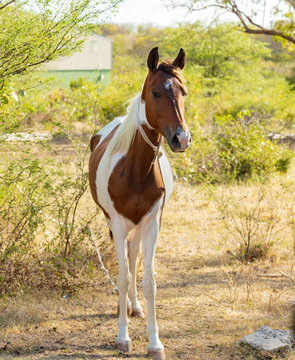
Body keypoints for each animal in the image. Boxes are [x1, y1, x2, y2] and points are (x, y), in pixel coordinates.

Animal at [89, 48, 191, 360]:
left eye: (183, 91)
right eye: (155, 92)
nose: (181, 138)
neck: (134, 169)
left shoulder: (152, 224)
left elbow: (149, 282)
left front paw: (155, 342)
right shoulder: (119, 223)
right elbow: (122, 277)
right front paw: (123, 338)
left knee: (133, 256)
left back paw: (133, 306)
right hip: (113, 223)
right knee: (126, 262)